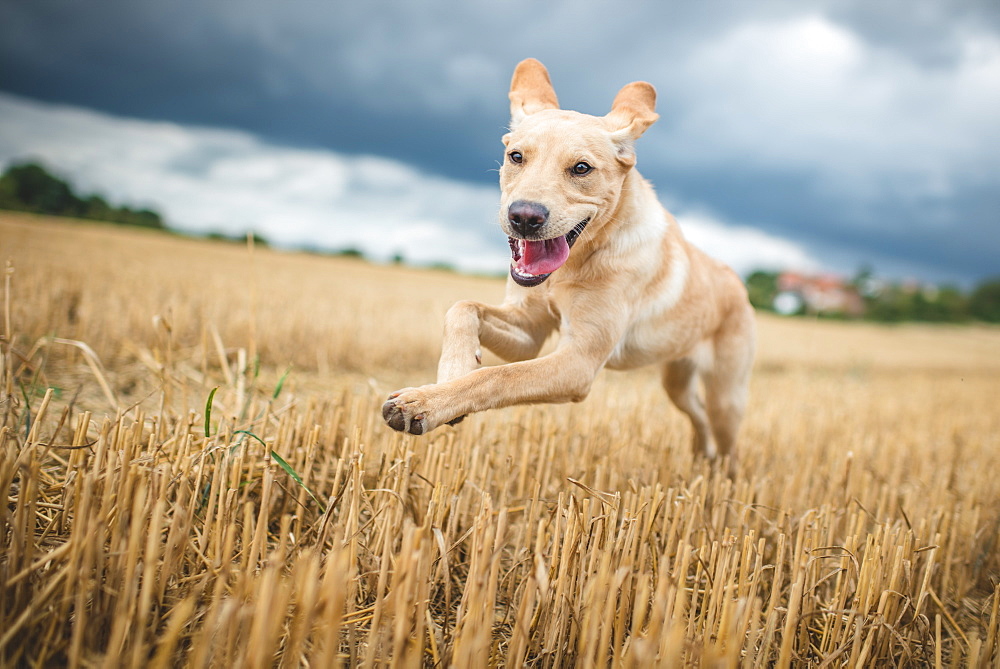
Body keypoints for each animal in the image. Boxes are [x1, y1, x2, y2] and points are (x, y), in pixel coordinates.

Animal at [378, 60, 752, 462]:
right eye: (516, 157)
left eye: (582, 168)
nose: (524, 218)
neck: (572, 265)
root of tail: (739, 286)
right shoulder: (528, 332)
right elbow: (462, 308)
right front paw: (451, 374)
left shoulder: (579, 360)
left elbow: (498, 376)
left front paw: (425, 403)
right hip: (677, 380)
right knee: (697, 415)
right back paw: (700, 457)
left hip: (727, 398)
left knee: (727, 441)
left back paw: (720, 472)